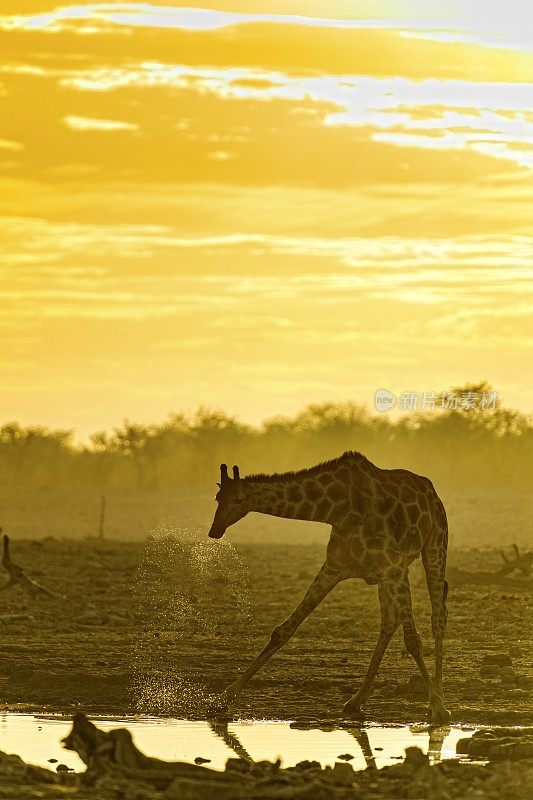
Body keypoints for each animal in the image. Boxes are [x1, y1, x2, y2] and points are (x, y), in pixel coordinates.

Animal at [207, 450, 448, 724]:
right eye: (217, 497)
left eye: (238, 499)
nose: (215, 531)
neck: (336, 510)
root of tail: (432, 492)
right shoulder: (335, 568)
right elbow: (283, 630)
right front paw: (222, 699)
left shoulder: (394, 566)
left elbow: (413, 640)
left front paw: (438, 706)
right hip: (386, 576)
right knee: (389, 621)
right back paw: (356, 700)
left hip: (434, 548)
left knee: (438, 617)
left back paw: (438, 698)